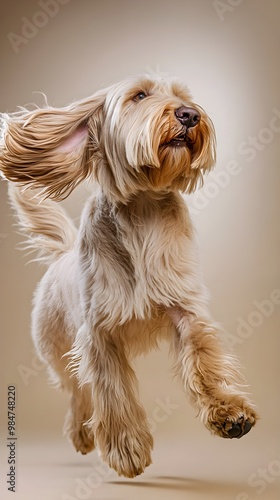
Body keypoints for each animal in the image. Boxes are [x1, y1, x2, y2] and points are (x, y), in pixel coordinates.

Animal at [0, 74, 258, 476]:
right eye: (139, 95)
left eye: (183, 97)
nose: (189, 115)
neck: (144, 208)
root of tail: (63, 254)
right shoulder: (99, 333)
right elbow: (112, 389)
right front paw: (126, 448)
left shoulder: (186, 309)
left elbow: (204, 360)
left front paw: (229, 411)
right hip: (55, 347)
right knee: (77, 389)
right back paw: (82, 432)